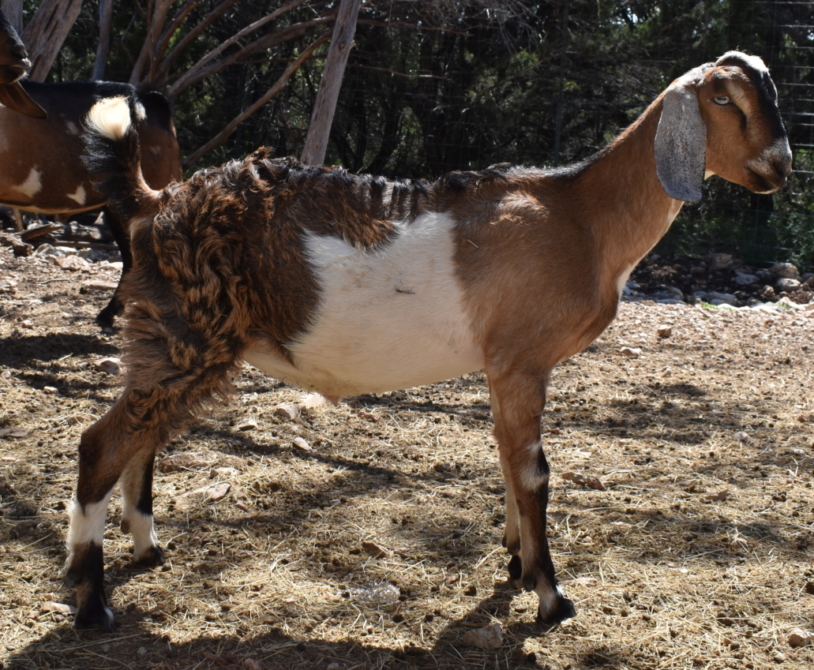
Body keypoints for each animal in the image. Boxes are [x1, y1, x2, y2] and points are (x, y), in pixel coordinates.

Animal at [67, 52, 792, 636]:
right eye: (724, 98)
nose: (780, 168)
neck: (582, 216)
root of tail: (154, 202)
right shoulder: (521, 359)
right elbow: (534, 472)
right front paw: (551, 597)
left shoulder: (503, 367)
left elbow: (507, 459)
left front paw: (516, 562)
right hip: (188, 337)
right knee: (102, 444)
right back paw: (91, 600)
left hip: (172, 340)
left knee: (142, 439)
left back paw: (147, 549)